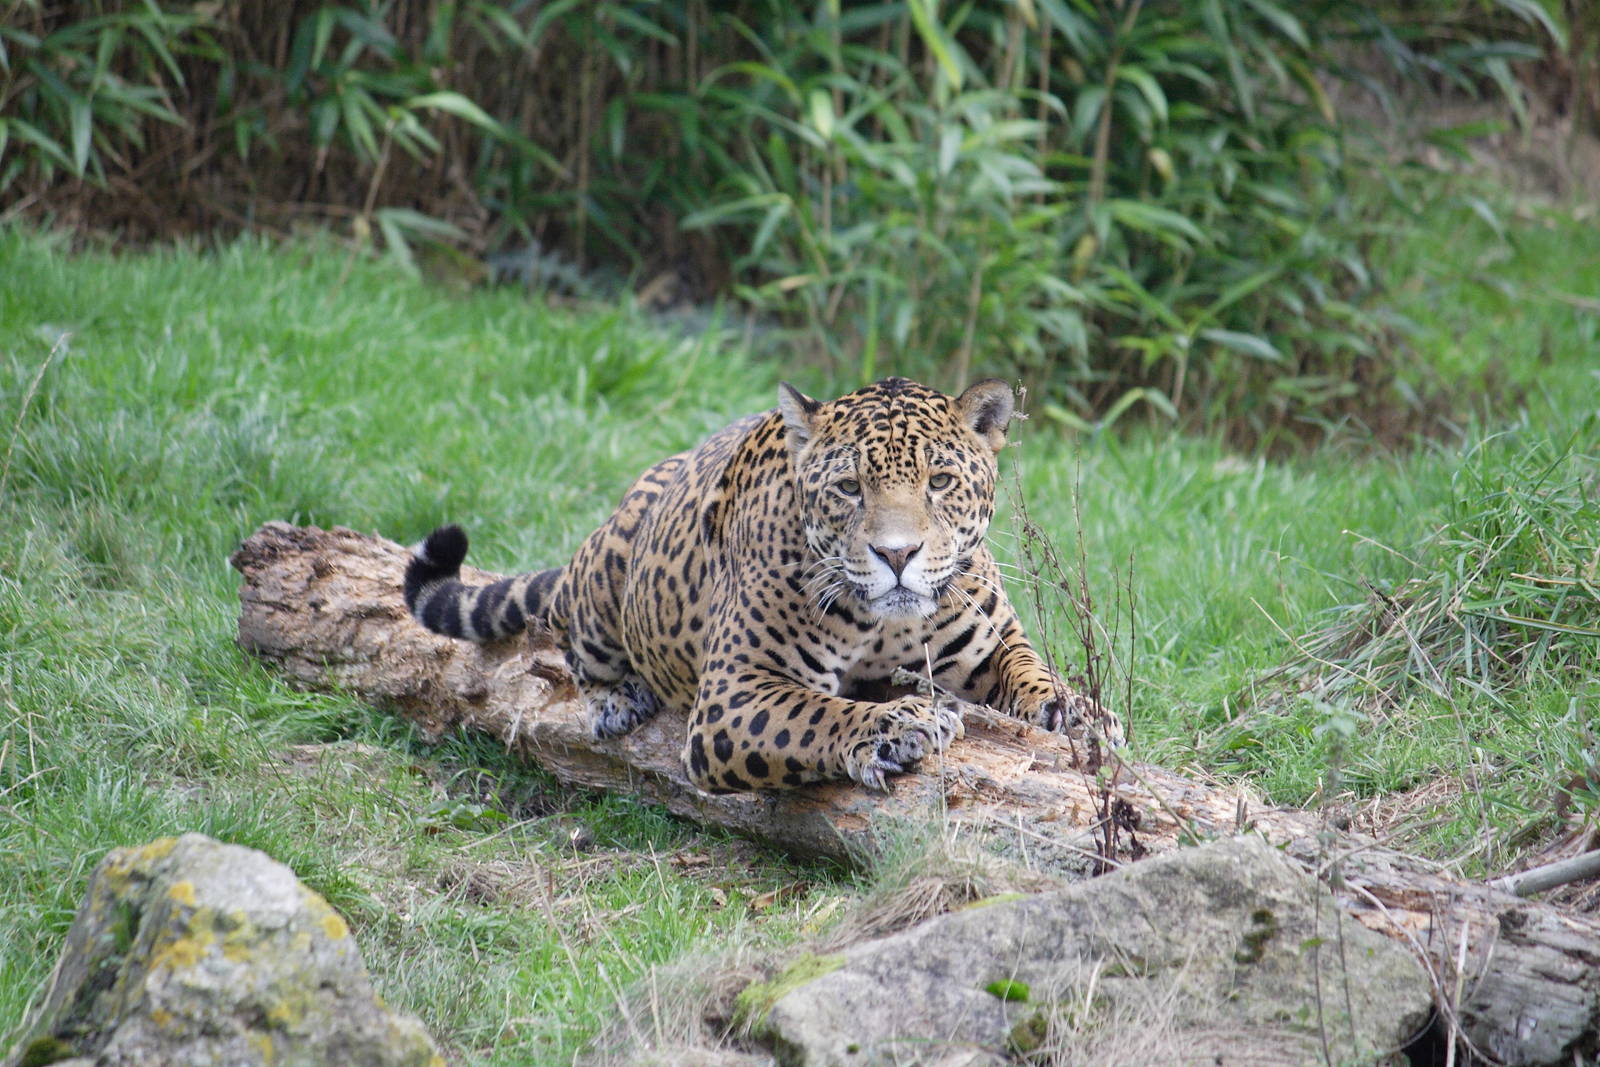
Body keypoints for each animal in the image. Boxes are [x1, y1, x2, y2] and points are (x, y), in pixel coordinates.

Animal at [404, 376, 1122, 793]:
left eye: (940, 481)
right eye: (848, 488)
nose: (897, 554)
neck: (887, 624)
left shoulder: (988, 640)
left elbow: (1029, 665)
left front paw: (1077, 710)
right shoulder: (734, 692)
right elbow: (817, 712)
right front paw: (898, 722)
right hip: (607, 575)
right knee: (577, 644)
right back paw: (618, 699)